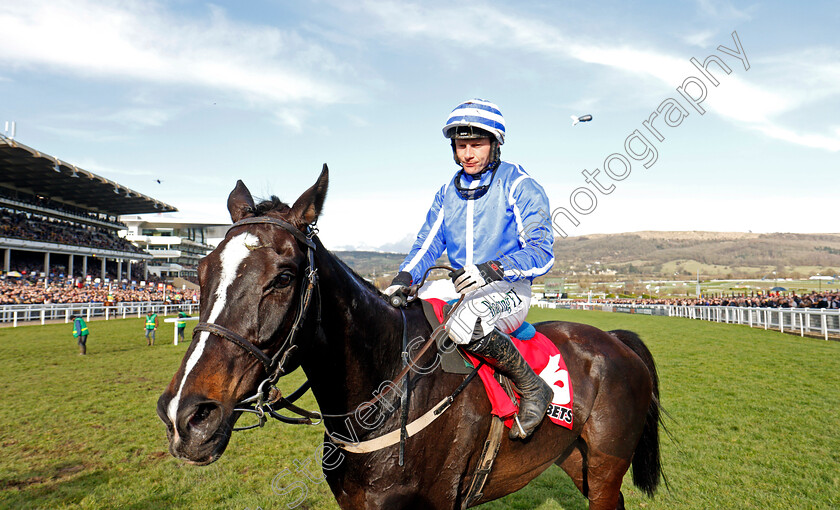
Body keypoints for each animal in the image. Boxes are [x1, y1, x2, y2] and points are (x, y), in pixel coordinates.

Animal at [158, 165, 668, 508]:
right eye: (201, 271)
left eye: (283, 278)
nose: (186, 416)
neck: (385, 395)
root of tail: (616, 339)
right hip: (576, 462)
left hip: (605, 468)